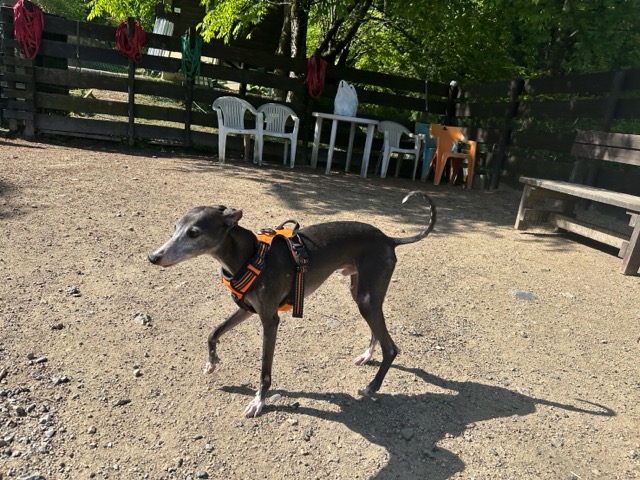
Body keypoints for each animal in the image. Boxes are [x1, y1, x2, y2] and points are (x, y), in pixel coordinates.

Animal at [148, 191, 436, 417]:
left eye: (193, 233)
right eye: (175, 227)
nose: (153, 257)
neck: (249, 255)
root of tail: (389, 238)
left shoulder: (270, 320)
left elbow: (264, 370)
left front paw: (259, 401)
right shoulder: (246, 310)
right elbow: (213, 332)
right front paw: (212, 362)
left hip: (367, 298)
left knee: (392, 347)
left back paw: (372, 386)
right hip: (362, 294)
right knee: (376, 331)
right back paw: (367, 356)